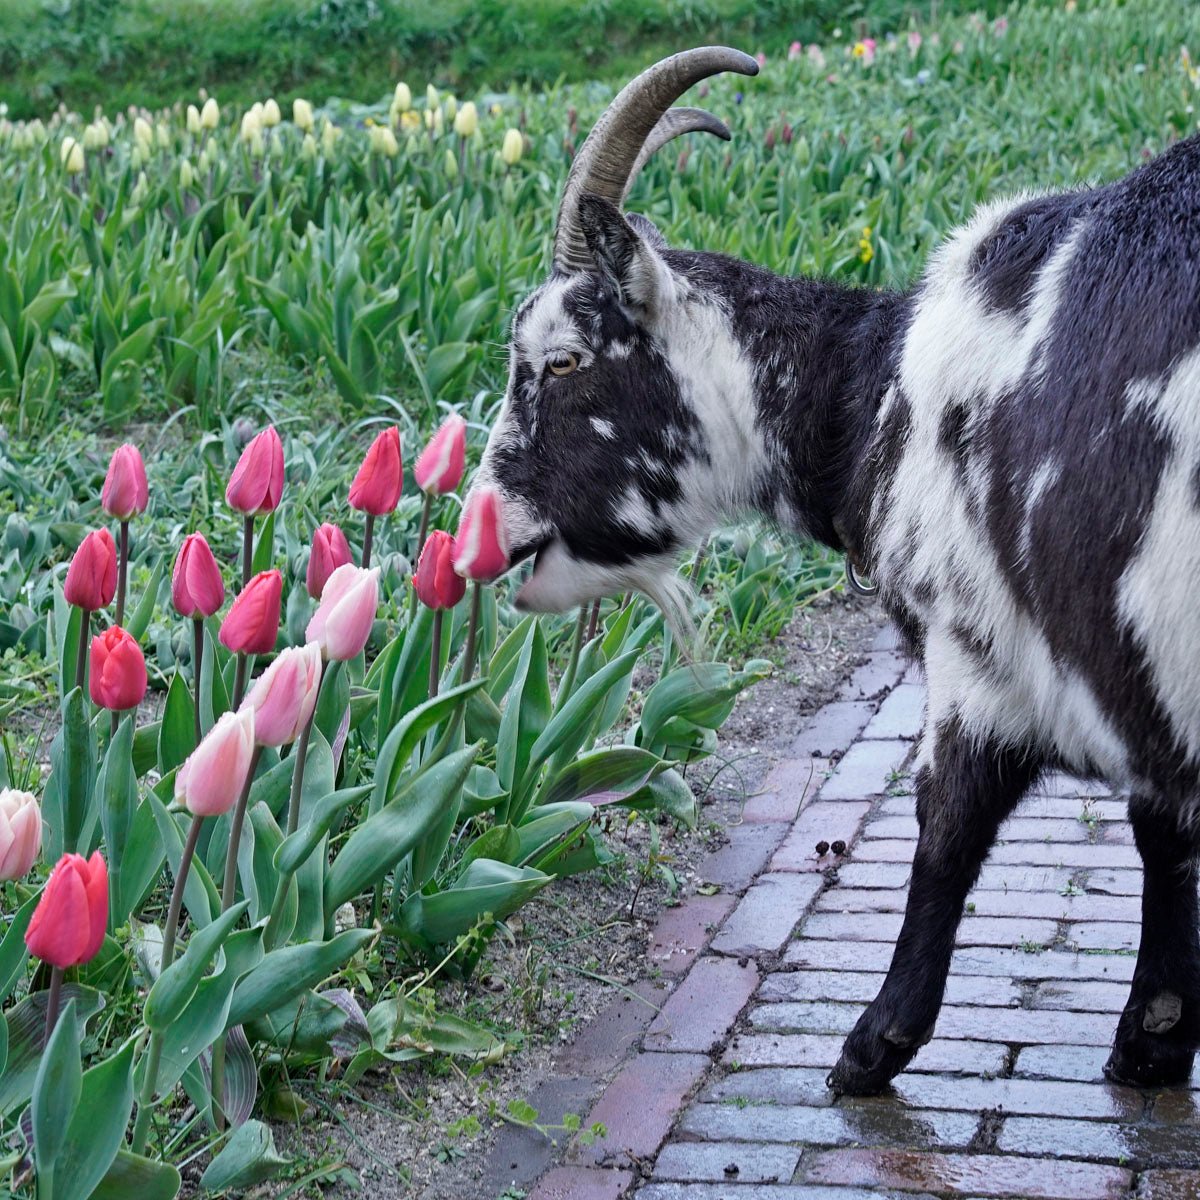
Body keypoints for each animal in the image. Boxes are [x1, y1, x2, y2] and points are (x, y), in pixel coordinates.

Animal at [463, 47, 1200, 1095]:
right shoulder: (1129, 657)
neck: (875, 388)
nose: (481, 531)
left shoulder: (983, 651)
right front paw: (1155, 1035)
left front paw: (871, 1044)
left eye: (560, 362)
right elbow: (1159, 826)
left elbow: (947, 827)